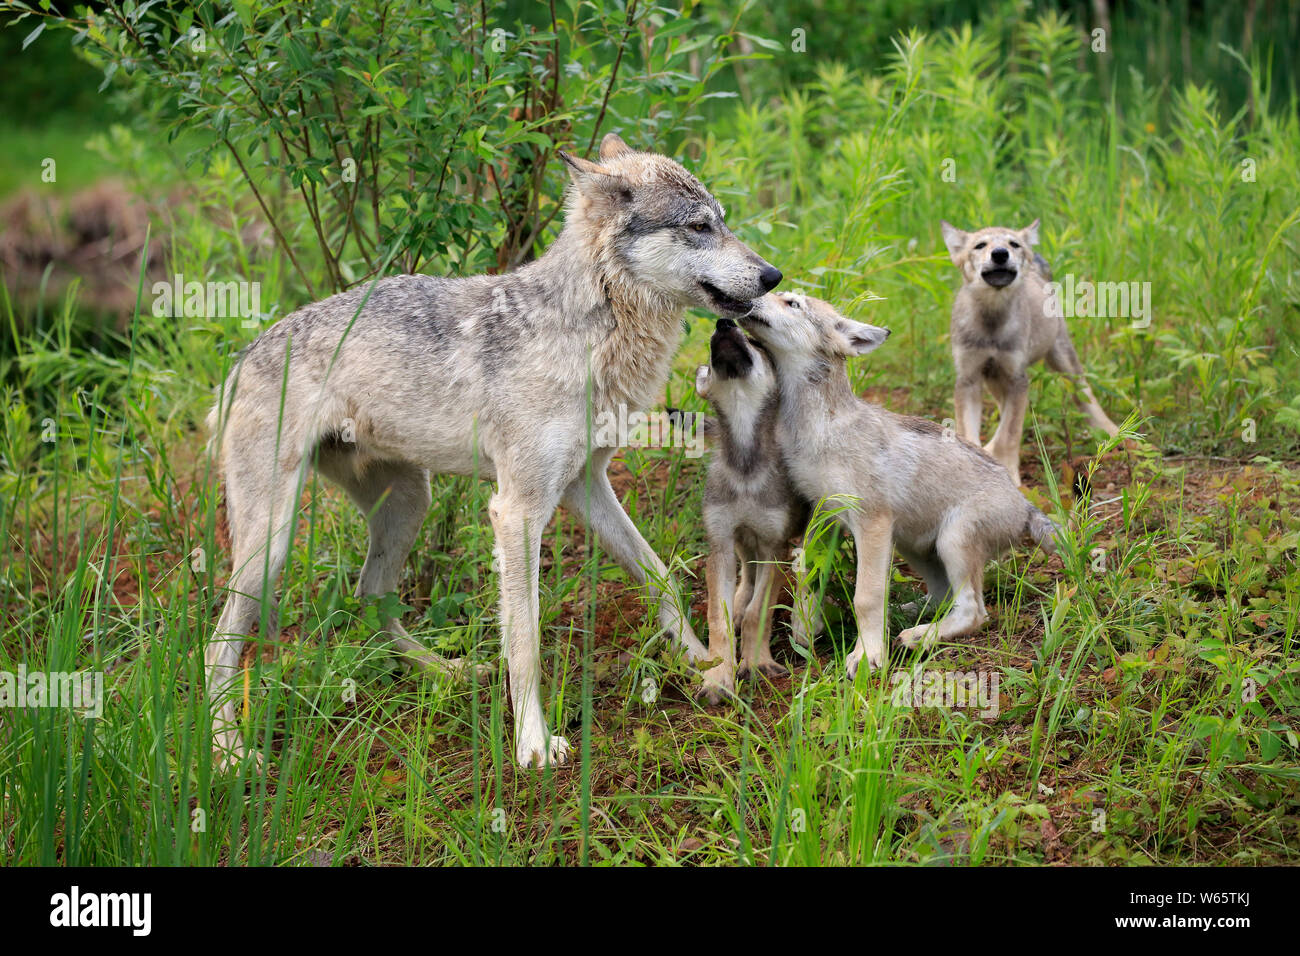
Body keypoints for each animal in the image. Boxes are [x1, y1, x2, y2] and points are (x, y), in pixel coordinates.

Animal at [204, 133, 782, 769]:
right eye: (700, 226)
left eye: (722, 222)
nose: (773, 275)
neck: (592, 327)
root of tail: (237, 363)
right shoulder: (517, 511)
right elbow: (524, 639)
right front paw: (534, 743)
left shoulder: (585, 486)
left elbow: (660, 576)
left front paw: (706, 663)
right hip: (272, 544)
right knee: (217, 647)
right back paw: (228, 753)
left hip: (408, 503)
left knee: (369, 596)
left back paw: (446, 672)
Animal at [692, 318, 821, 703]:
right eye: (711, 344)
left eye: (756, 343)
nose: (722, 323)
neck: (746, 470)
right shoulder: (720, 543)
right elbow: (717, 620)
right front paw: (718, 678)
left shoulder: (773, 547)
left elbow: (757, 613)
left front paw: (757, 664)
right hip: (741, 542)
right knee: (746, 577)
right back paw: (738, 601)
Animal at [738, 291, 1058, 678]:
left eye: (792, 304)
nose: (750, 294)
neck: (819, 426)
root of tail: (1025, 506)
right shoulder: (824, 515)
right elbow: (806, 575)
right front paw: (805, 628)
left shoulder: (871, 523)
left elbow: (866, 596)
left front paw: (867, 656)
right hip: (913, 544)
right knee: (944, 595)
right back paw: (907, 614)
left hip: (951, 541)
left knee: (973, 612)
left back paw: (919, 635)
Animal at [941, 219, 1119, 486]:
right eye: (980, 245)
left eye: (1013, 244)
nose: (1000, 254)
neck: (992, 323)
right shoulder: (968, 379)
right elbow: (972, 432)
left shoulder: (1017, 379)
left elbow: (1009, 433)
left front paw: (1009, 474)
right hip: (996, 379)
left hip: (1062, 361)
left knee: (1086, 396)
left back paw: (1114, 433)